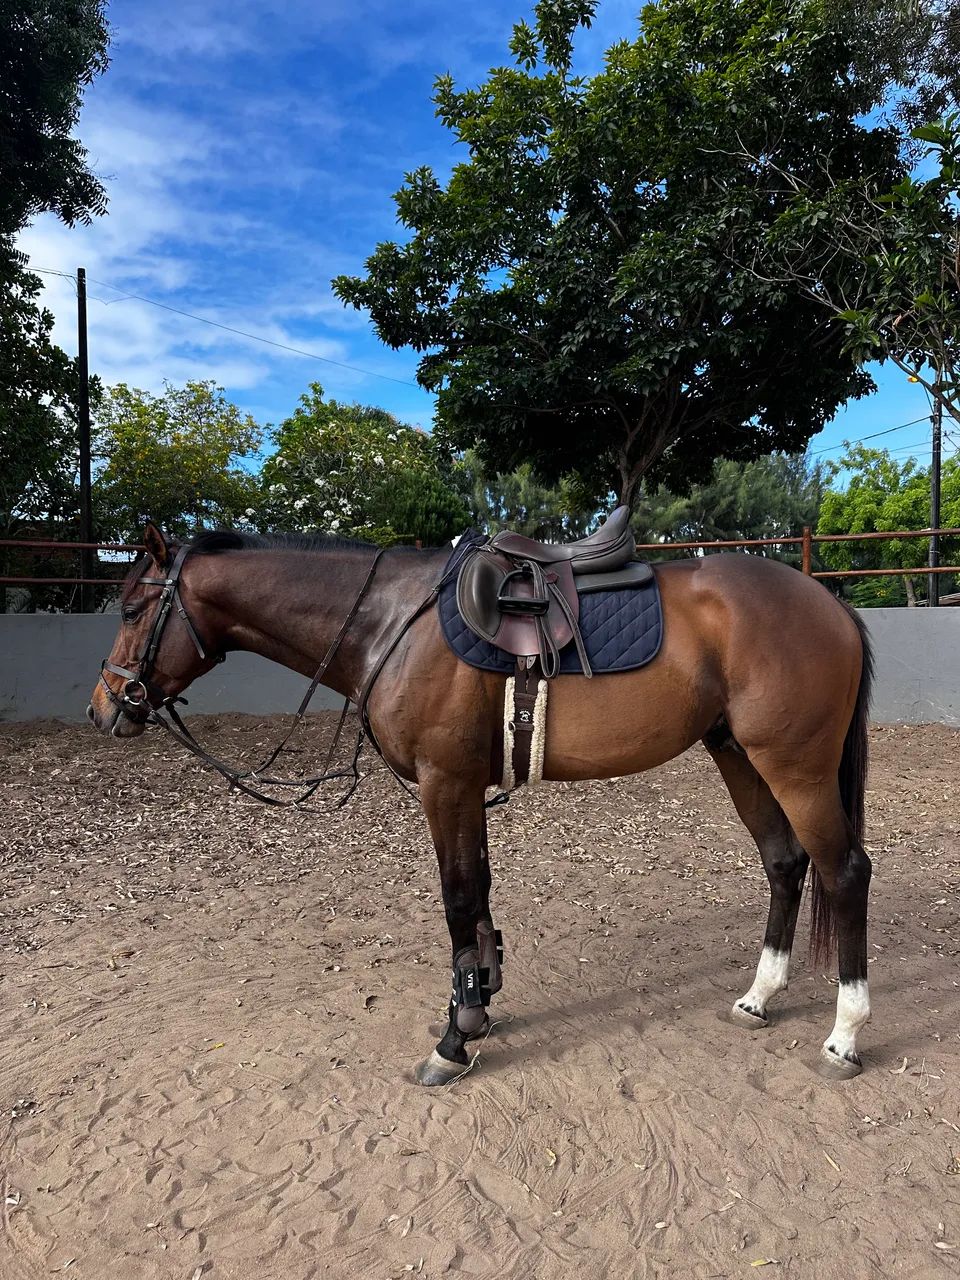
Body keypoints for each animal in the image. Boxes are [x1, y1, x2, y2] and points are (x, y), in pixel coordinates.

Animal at [88, 521, 873, 1086]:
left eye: (130, 608)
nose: (104, 708)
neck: (387, 622)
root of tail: (829, 602)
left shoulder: (446, 784)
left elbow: (460, 898)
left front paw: (454, 1037)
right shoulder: (463, 788)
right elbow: (481, 896)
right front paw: (481, 1002)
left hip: (795, 766)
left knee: (844, 873)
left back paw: (844, 1035)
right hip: (738, 754)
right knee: (784, 862)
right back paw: (759, 996)